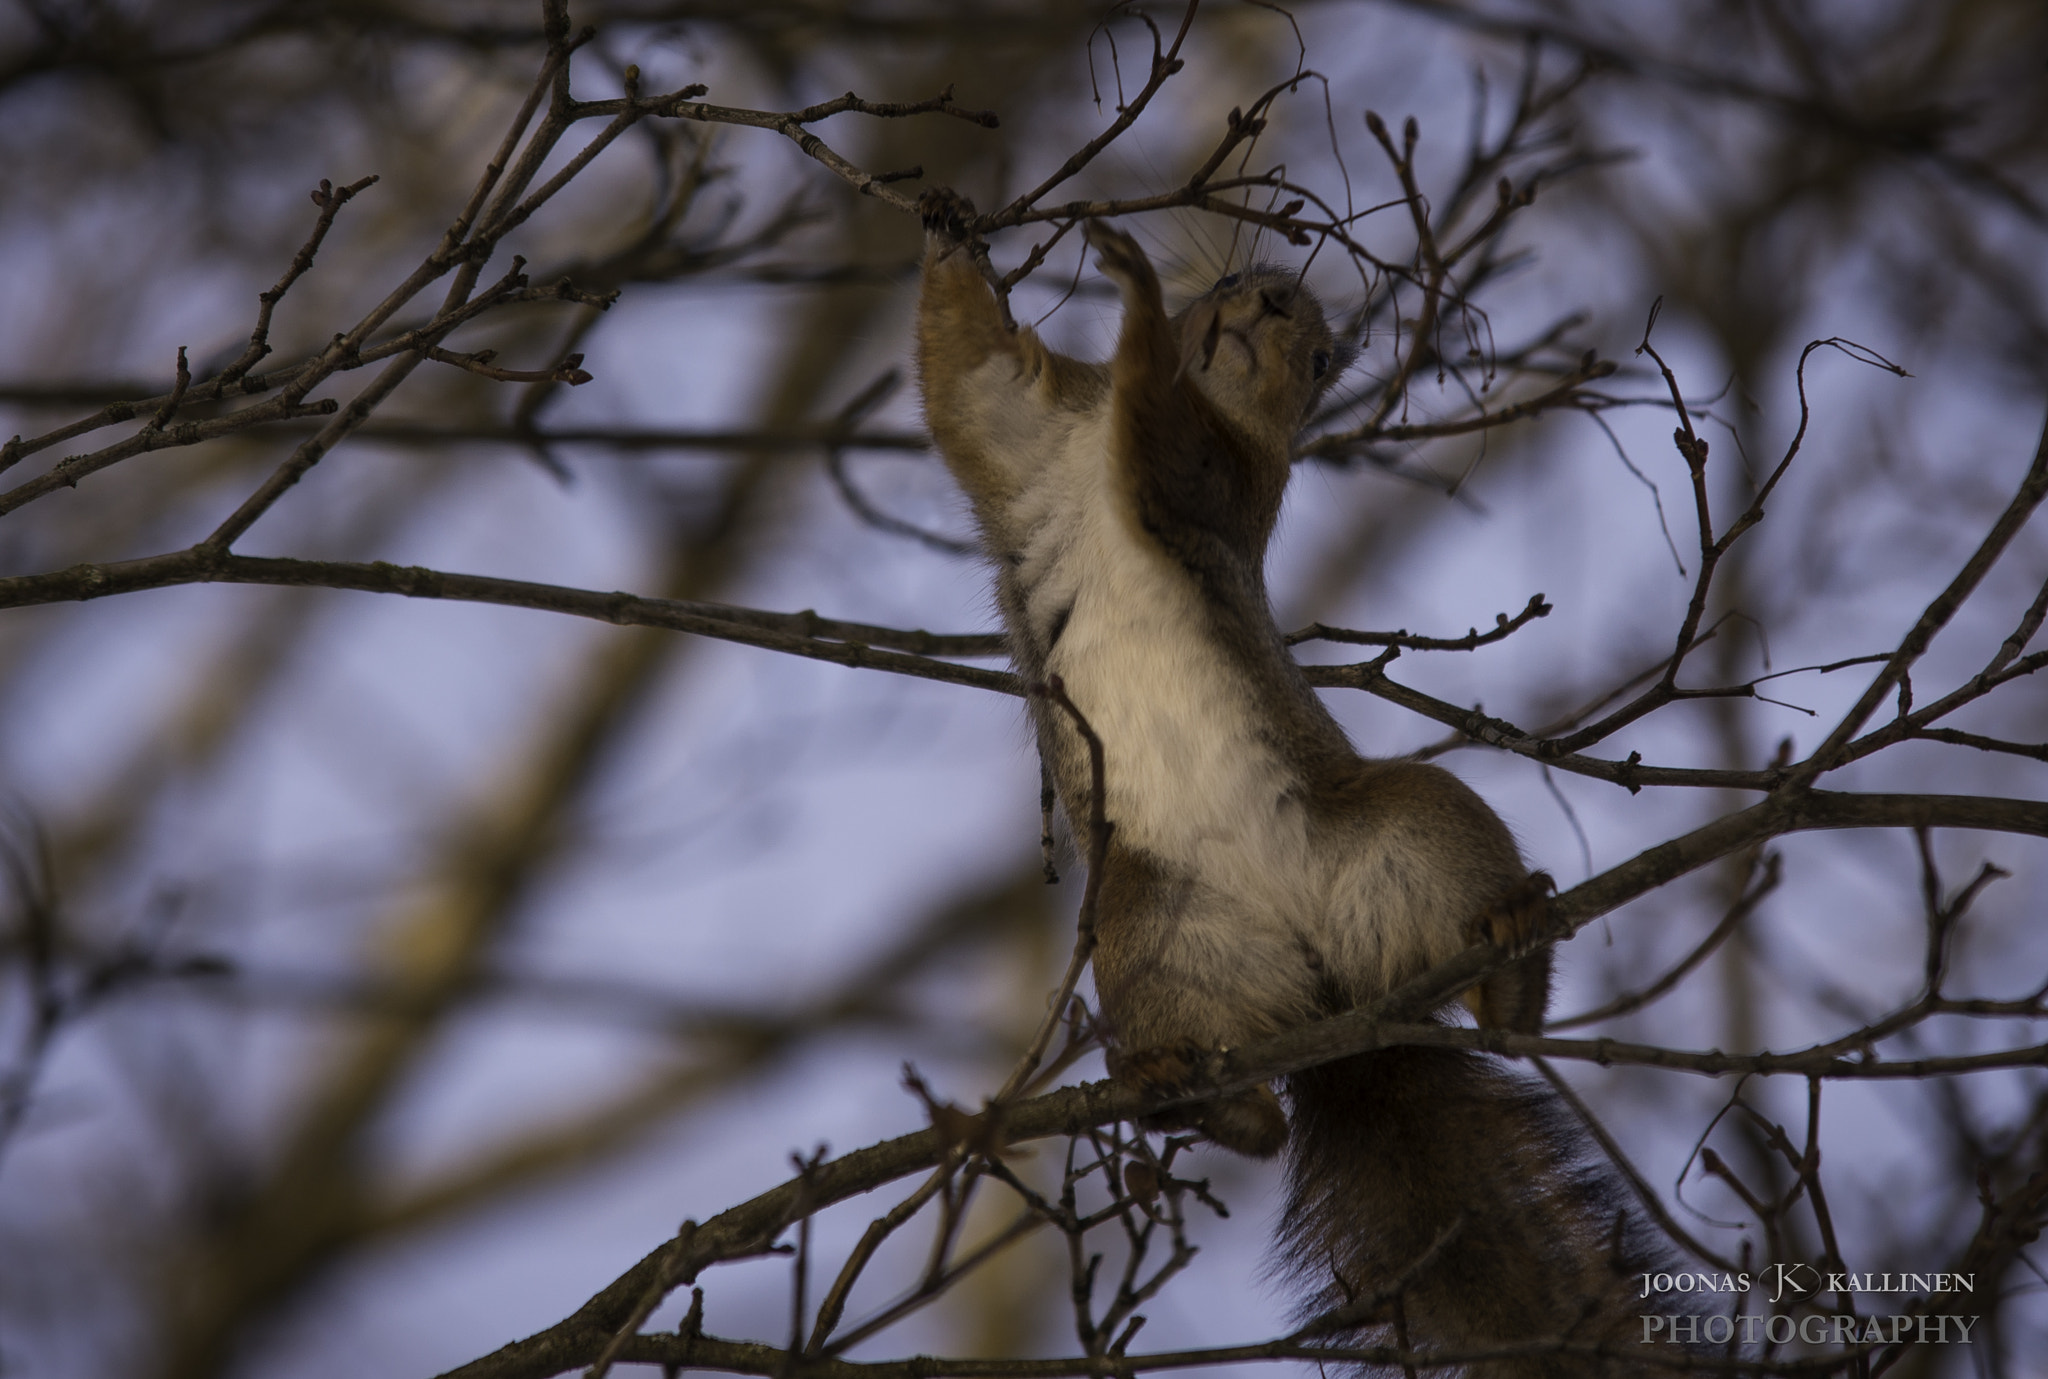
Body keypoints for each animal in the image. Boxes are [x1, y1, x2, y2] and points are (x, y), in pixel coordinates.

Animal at [916, 192, 1668, 1376]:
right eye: (1234, 286)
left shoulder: (1223, 478)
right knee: (1262, 1121)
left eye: (1317, 358)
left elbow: (1163, 445)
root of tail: (1334, 999)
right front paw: (947, 228)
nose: (1259, 301)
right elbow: (966, 379)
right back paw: (1193, 1097)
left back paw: (1510, 945)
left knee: (1505, 1018)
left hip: (1421, 824)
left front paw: (1132, 292)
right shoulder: (1028, 430)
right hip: (1150, 938)